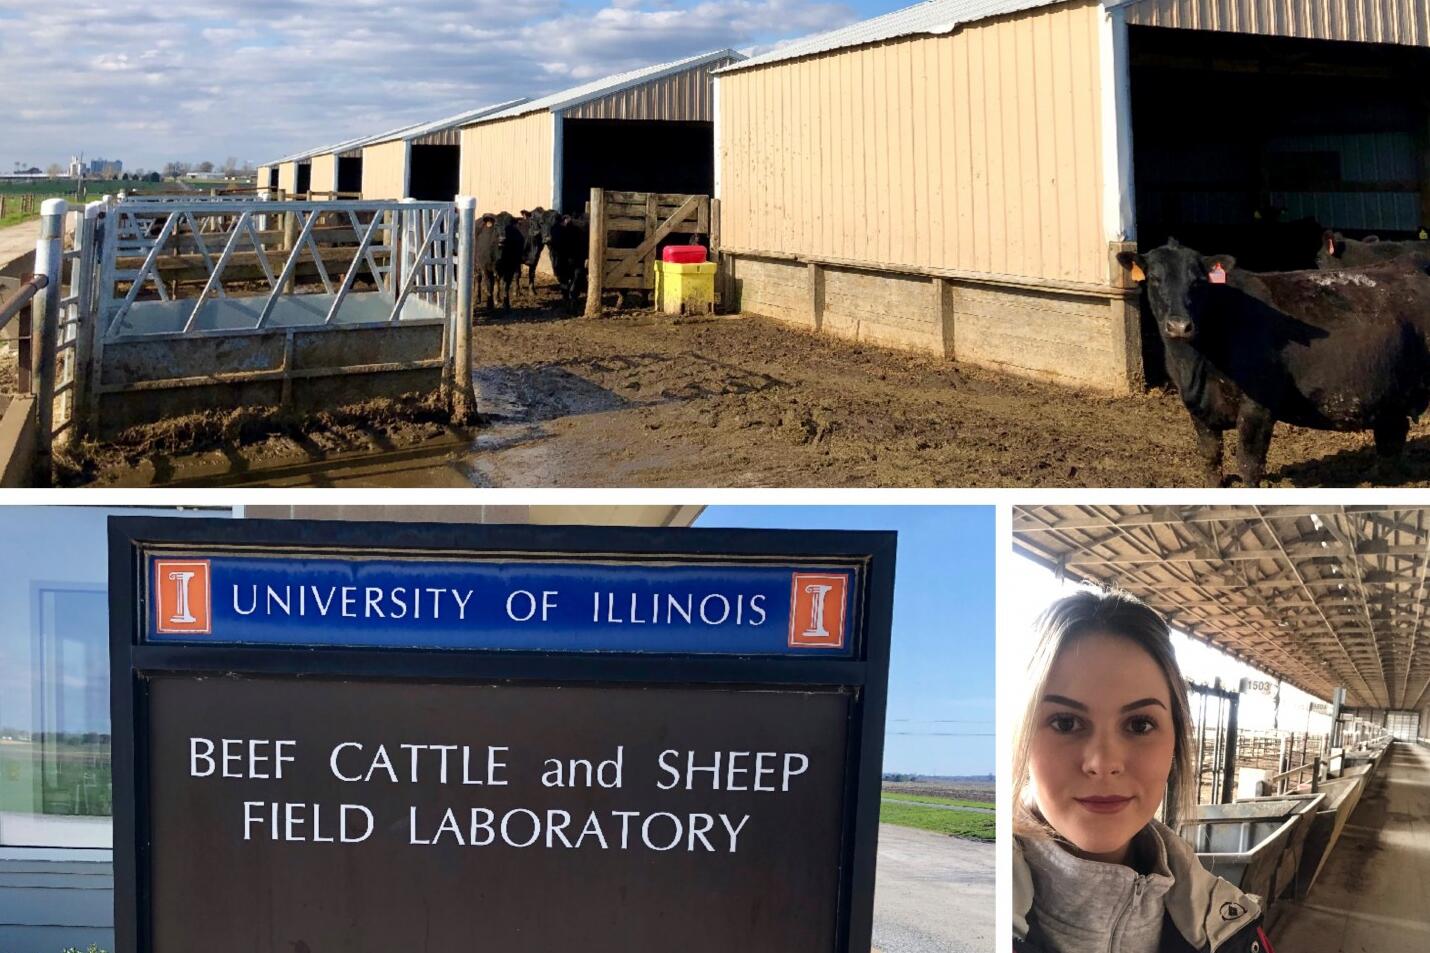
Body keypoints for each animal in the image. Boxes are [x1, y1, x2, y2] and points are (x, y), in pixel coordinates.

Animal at [1115, 238, 1430, 483]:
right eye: (1154, 278)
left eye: (1198, 281)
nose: (1180, 326)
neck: (1195, 365)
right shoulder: (1198, 408)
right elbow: (1211, 461)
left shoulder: (1259, 407)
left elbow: (1249, 465)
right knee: (1392, 436)